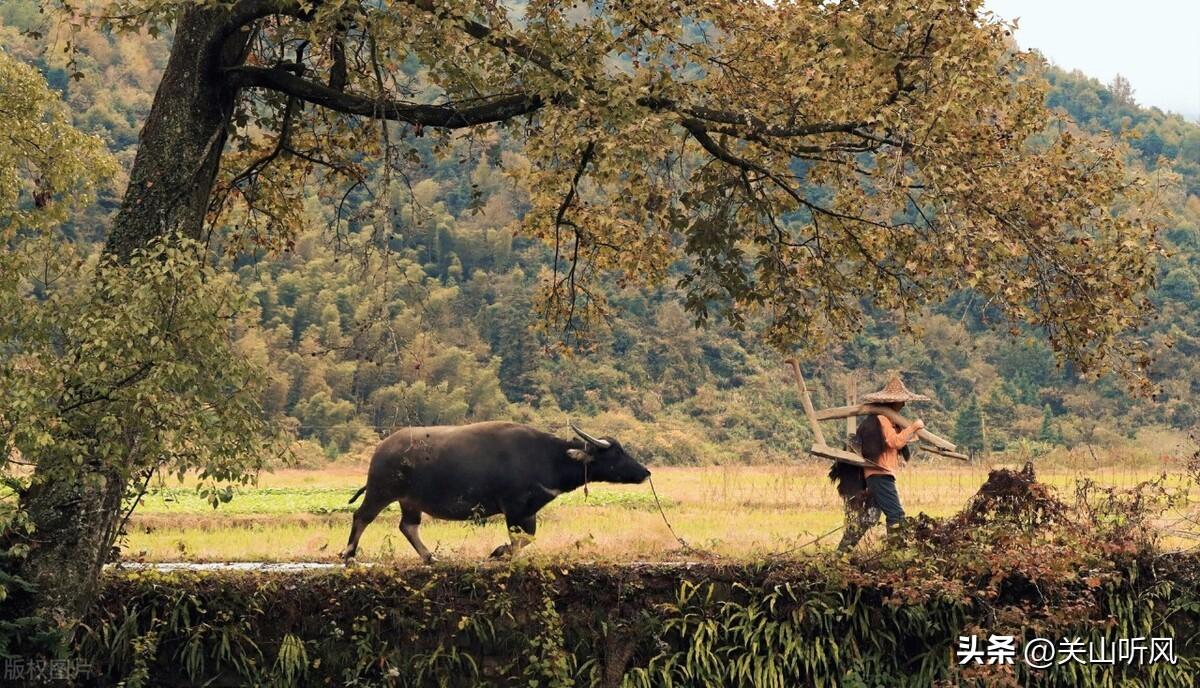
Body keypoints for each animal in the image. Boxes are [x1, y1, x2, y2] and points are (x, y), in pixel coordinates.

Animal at [343, 417, 652, 564]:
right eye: (616, 454)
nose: (646, 472)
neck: (549, 458)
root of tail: (381, 449)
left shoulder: (528, 510)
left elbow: (528, 538)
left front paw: (501, 552)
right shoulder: (514, 508)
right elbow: (520, 539)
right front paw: (499, 552)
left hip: (409, 500)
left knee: (408, 526)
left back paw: (430, 557)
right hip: (381, 490)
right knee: (361, 516)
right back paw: (348, 554)